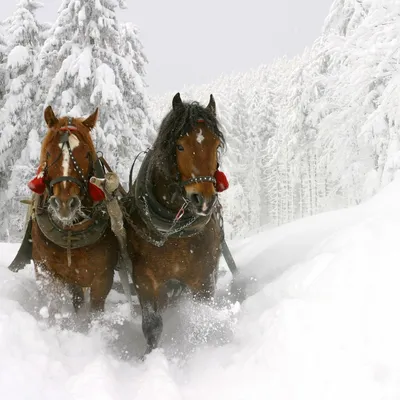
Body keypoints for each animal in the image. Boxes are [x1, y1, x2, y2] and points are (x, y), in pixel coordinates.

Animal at [29, 106, 118, 316]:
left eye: (86, 154)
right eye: (49, 153)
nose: (64, 203)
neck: (71, 233)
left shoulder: (103, 278)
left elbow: (95, 311)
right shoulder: (46, 271)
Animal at [123, 93, 225, 354]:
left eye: (216, 146)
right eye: (180, 146)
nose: (204, 199)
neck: (174, 231)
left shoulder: (204, 279)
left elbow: (202, 319)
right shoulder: (145, 278)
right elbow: (152, 326)